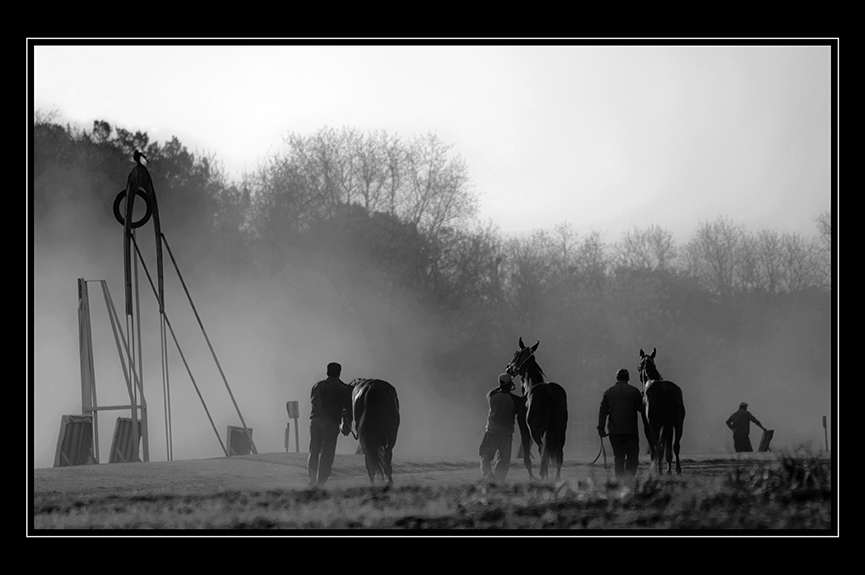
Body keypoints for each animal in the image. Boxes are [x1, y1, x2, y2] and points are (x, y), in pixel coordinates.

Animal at [506, 338, 568, 482]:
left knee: (543, 450)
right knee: (558, 454)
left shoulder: (524, 430)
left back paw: (543, 475)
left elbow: (527, 456)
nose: (508, 368)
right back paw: (555, 479)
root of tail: (549, 392)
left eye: (516, 354)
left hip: (536, 431)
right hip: (560, 431)